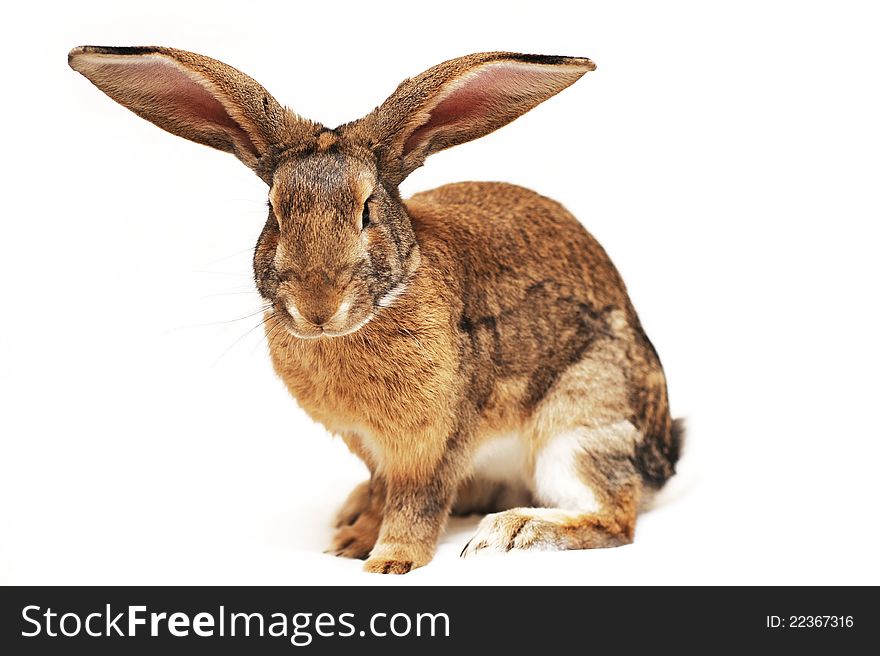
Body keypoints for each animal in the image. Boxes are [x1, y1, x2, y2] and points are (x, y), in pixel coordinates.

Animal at [69, 44, 684, 576]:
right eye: (274, 211)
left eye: (367, 210)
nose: (316, 308)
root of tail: (662, 456)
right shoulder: (370, 447)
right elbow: (386, 491)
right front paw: (351, 542)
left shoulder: (434, 441)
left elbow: (416, 503)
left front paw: (389, 561)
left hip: (580, 422)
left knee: (614, 517)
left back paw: (509, 531)